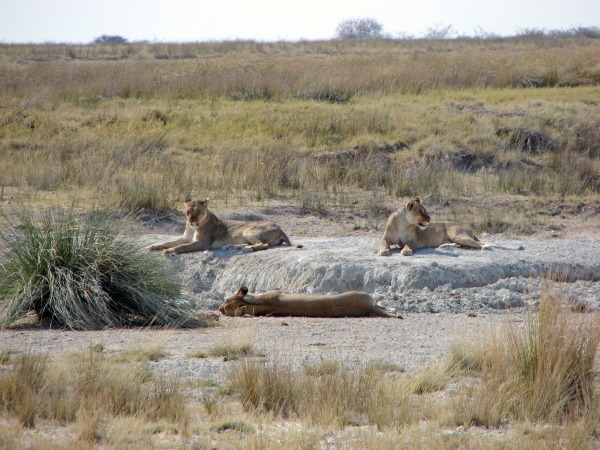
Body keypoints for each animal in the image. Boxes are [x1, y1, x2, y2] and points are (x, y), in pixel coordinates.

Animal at [149, 198, 291, 256]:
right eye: (188, 212)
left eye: (198, 212)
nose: (191, 221)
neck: (193, 228)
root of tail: (280, 228)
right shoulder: (185, 238)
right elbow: (169, 242)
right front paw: (155, 246)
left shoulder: (202, 243)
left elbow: (182, 247)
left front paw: (170, 251)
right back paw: (231, 247)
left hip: (248, 231)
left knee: (264, 244)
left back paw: (247, 249)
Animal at [378, 198, 524, 256]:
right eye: (421, 211)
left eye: (425, 211)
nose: (430, 219)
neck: (403, 223)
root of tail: (468, 228)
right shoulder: (385, 239)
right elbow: (383, 244)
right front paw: (383, 251)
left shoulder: (413, 241)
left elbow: (407, 245)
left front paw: (406, 251)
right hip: (457, 238)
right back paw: (446, 246)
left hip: (457, 235)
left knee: (479, 243)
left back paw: (485, 247)